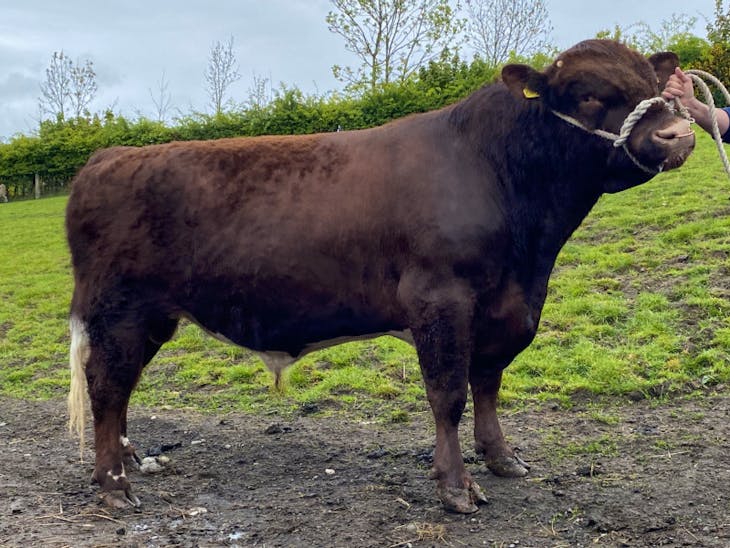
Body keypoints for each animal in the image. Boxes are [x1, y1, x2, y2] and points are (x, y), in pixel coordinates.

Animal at [66, 40, 694, 514]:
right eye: (589, 94)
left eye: (654, 85)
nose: (678, 135)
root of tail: (106, 158)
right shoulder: (440, 299)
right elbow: (448, 395)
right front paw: (456, 487)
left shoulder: (506, 309)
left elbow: (488, 384)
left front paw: (502, 459)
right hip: (120, 309)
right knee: (106, 385)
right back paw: (114, 485)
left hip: (152, 317)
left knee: (121, 388)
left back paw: (130, 460)